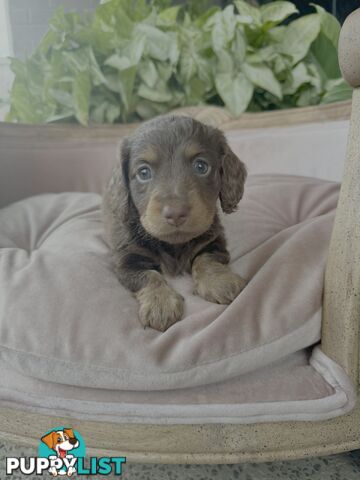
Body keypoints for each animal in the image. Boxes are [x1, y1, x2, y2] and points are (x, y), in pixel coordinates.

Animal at [102, 116, 246, 334]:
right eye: (143, 172)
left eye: (201, 166)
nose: (175, 213)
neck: (172, 244)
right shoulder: (127, 260)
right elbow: (148, 276)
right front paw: (160, 304)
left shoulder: (214, 242)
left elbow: (205, 259)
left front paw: (220, 282)